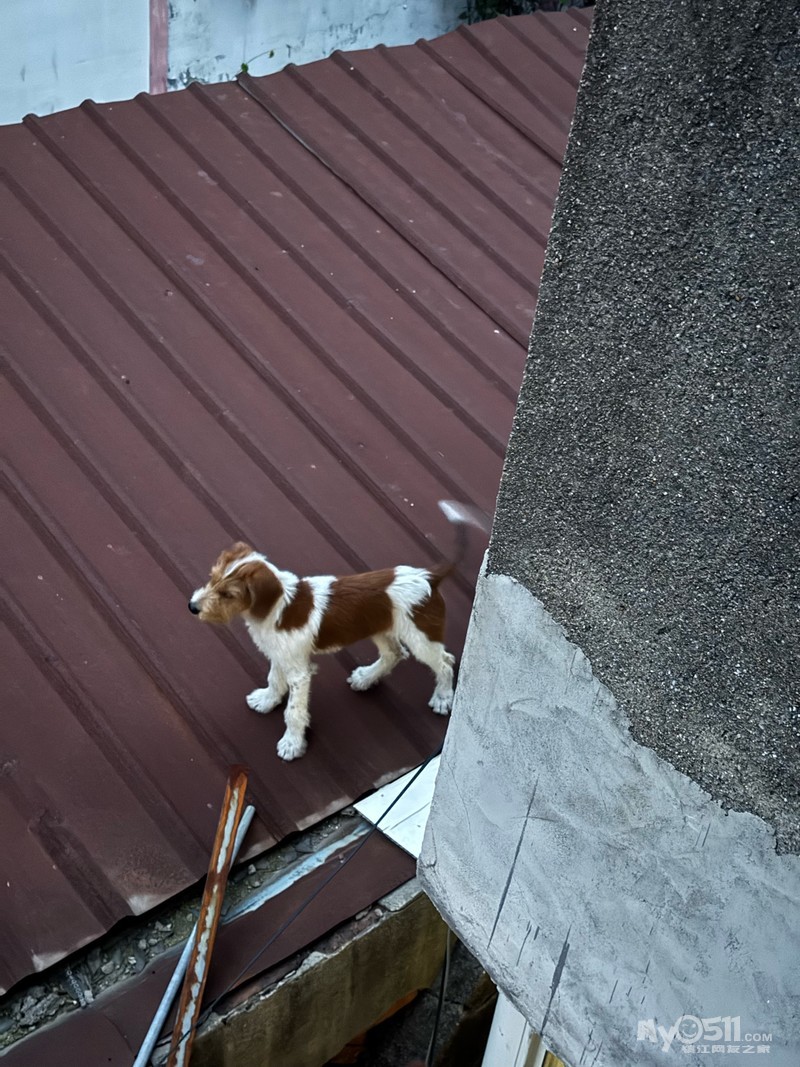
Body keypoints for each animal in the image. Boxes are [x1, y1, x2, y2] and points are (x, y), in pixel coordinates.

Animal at [188, 501, 484, 760]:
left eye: (228, 594)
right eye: (212, 577)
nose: (192, 607)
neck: (277, 606)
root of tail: (428, 576)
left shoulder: (299, 671)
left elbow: (293, 711)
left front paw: (292, 744)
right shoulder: (279, 655)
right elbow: (274, 680)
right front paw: (267, 700)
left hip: (420, 636)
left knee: (444, 661)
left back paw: (443, 697)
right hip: (379, 627)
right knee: (395, 654)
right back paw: (366, 678)